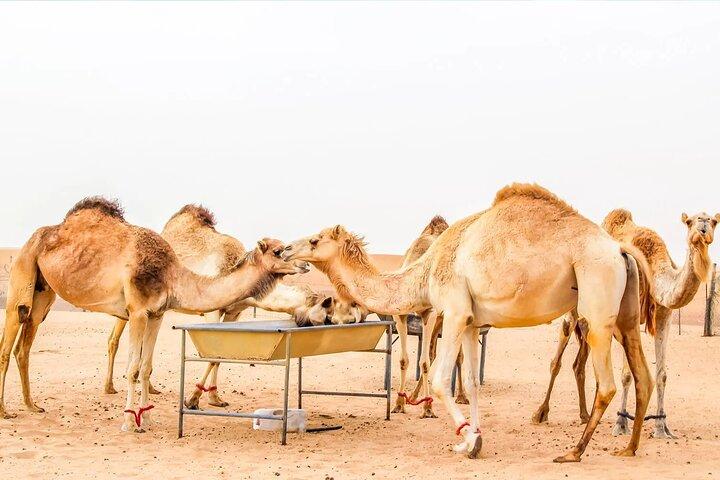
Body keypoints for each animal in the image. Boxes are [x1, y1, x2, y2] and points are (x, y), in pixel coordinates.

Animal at [0, 197, 303, 431]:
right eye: (280, 250)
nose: (302, 265)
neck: (172, 275)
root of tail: (32, 239)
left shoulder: (156, 314)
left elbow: (145, 367)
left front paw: (148, 418)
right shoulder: (137, 311)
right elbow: (133, 368)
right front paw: (128, 422)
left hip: (43, 293)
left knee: (23, 346)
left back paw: (32, 405)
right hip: (22, 273)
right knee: (8, 341)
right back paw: (5, 411)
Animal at [391, 215, 469, 419]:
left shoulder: (430, 314)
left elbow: (424, 362)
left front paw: (427, 409)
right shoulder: (400, 315)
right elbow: (404, 360)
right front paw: (399, 404)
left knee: (457, 356)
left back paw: (462, 396)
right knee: (434, 352)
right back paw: (414, 395)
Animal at [533, 209, 718, 439]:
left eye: (714, 221)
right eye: (690, 222)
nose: (703, 226)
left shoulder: (664, 315)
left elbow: (662, 374)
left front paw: (661, 427)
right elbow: (627, 375)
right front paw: (621, 423)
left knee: (579, 364)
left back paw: (585, 415)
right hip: (571, 311)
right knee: (557, 359)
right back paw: (541, 413)